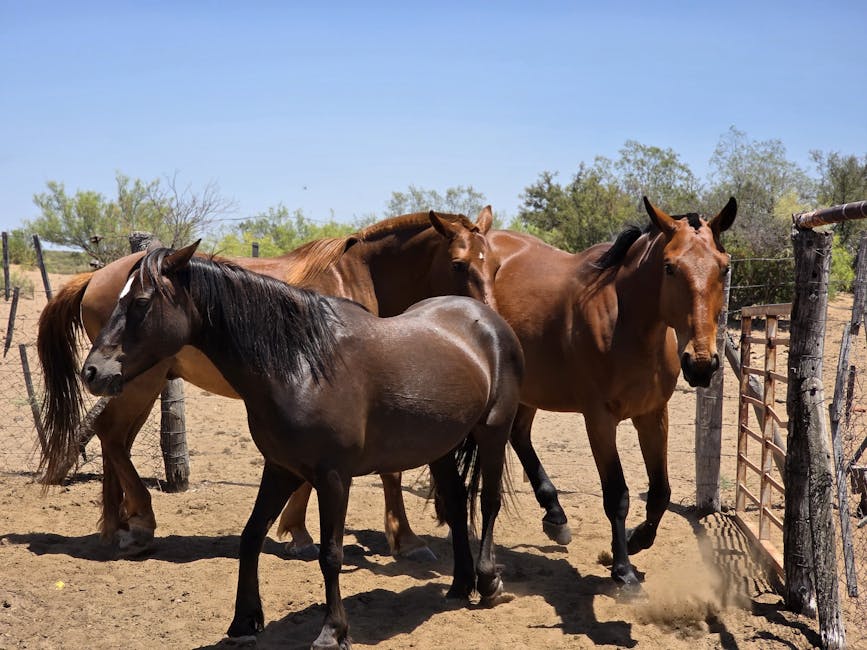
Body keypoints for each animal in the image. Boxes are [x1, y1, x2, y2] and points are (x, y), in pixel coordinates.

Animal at [37, 208, 498, 559]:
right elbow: (390, 470)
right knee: (112, 437)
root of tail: (92, 278)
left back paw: (118, 525)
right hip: (137, 381)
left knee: (115, 440)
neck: (358, 275)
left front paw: (298, 530)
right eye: (459, 263)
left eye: (493, 264)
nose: (491, 317)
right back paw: (139, 523)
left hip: (135, 382)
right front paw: (404, 539)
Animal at [80, 244, 523, 647]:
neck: (302, 366)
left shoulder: (333, 478)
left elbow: (331, 554)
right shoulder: (280, 469)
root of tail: (488, 319)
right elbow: (251, 536)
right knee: (457, 503)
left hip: (493, 431)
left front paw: (333, 631)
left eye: (140, 302)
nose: (93, 372)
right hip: (442, 447)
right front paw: (244, 621)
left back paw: (489, 583)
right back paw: (460, 585)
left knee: (488, 502)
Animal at [364, 196, 737, 592]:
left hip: (528, 391)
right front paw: (622, 570)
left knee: (519, 435)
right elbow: (616, 494)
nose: (701, 363)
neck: (627, 322)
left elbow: (660, 492)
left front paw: (636, 540)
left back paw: (555, 515)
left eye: (724, 267)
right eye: (670, 267)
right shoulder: (599, 420)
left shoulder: (652, 414)